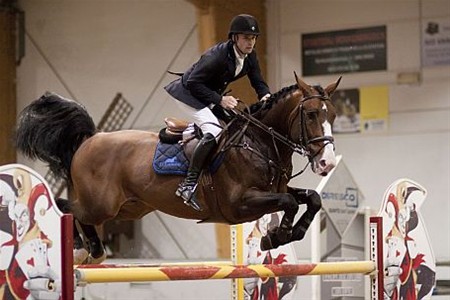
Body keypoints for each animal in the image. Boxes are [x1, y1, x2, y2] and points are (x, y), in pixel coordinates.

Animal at [15, 74, 342, 264]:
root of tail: (91, 139)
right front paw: (276, 235)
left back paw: (92, 251)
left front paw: (291, 232)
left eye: (333, 115)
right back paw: (85, 249)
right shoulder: (240, 204)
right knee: (67, 207)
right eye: (311, 114)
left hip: (129, 208)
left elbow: (311, 198)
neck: (260, 141)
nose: (326, 161)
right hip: (101, 205)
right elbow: (289, 202)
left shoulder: (273, 190)